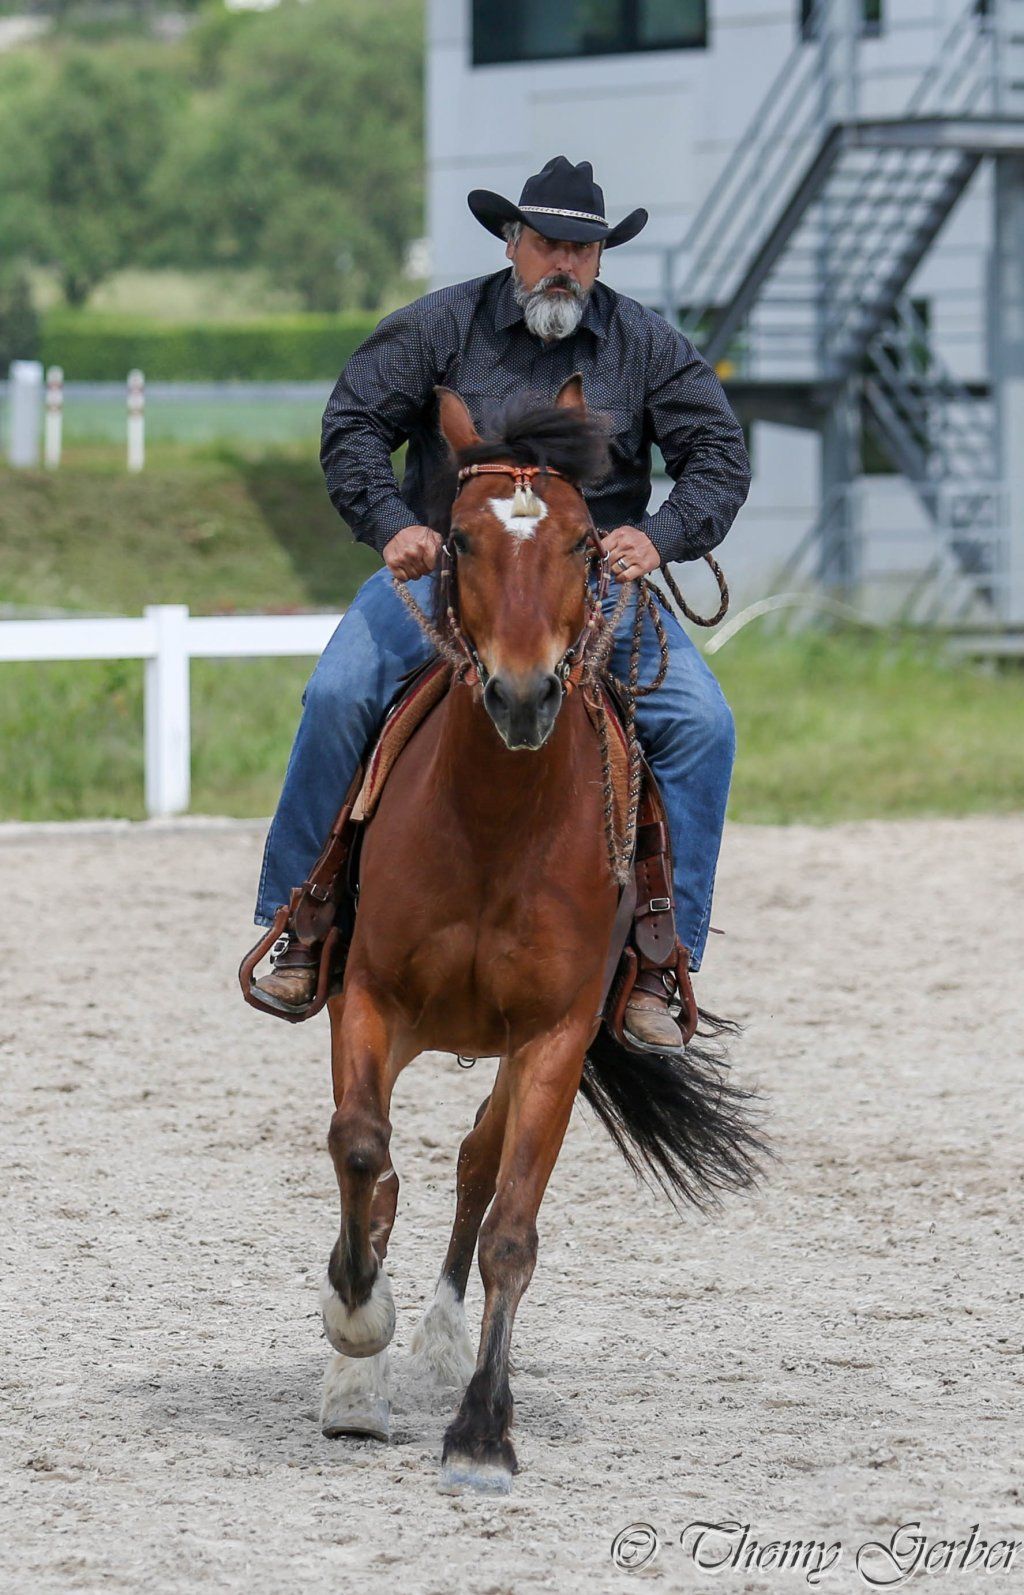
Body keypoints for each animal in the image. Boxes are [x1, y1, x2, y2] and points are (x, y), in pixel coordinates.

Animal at [317, 375, 764, 1493]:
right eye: (460, 539)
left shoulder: (556, 1035)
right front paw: (356, 1324)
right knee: (390, 1170)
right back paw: (365, 1371)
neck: (495, 822)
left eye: (582, 541)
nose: (522, 694)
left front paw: (482, 1431)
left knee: (478, 1164)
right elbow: (359, 1146)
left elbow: (512, 1230)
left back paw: (440, 1344)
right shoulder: (369, 997)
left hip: (525, 1047)